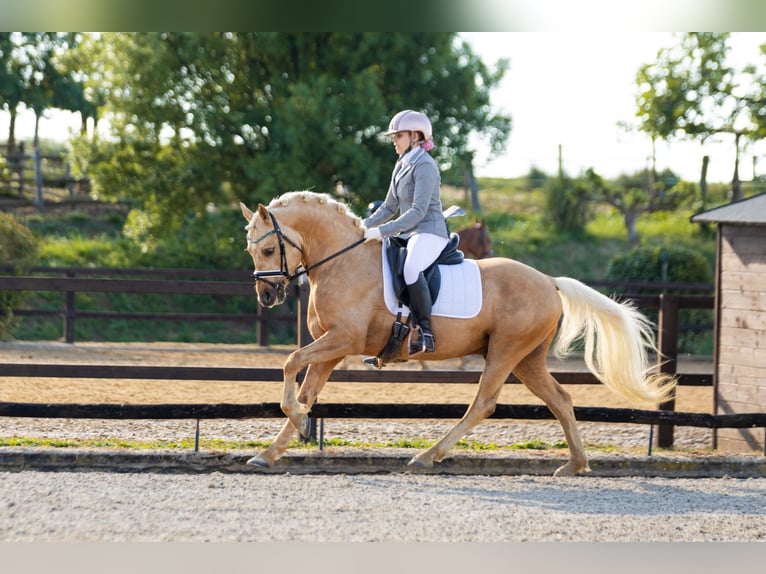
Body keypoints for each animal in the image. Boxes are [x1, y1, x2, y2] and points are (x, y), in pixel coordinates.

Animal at [239, 190, 675, 476]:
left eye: (267, 250)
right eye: (250, 250)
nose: (266, 295)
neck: (341, 262)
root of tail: (549, 281)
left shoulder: (343, 340)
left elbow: (289, 363)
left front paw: (297, 423)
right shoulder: (329, 350)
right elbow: (305, 390)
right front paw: (274, 449)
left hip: (505, 351)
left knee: (483, 404)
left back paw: (428, 456)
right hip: (527, 359)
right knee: (560, 399)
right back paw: (575, 464)